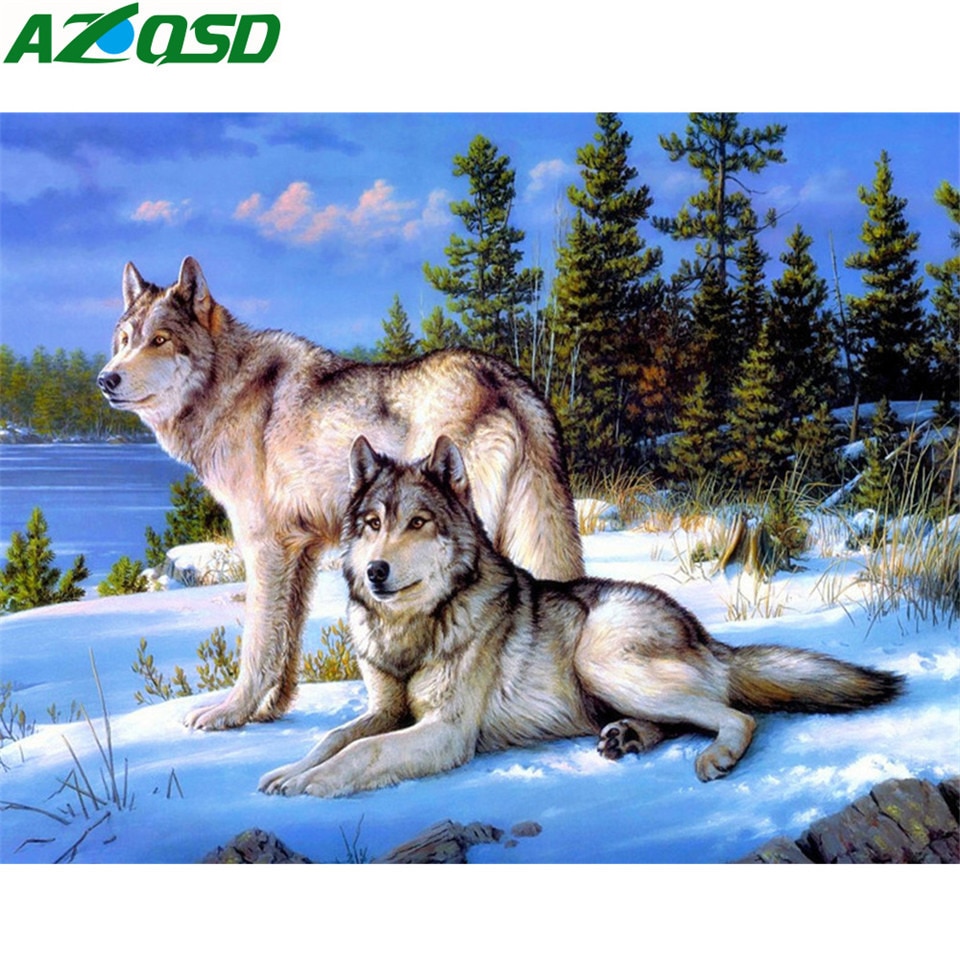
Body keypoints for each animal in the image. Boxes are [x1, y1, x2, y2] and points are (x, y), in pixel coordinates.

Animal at [98, 257, 583, 731]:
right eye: (123, 340)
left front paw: (230, 713)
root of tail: (506, 380)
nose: (106, 379)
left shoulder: (263, 547)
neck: (226, 387)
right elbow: (285, 643)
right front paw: (269, 710)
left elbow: (257, 644)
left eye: (160, 340)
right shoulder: (300, 551)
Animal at [259, 436, 904, 798]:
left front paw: (309, 785)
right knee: (689, 717)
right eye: (373, 524)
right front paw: (288, 771)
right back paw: (627, 737)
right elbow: (335, 738)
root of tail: (703, 633)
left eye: (417, 523)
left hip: (602, 661)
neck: (413, 630)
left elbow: (360, 753)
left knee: (738, 717)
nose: (376, 572)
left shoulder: (446, 731)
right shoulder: (385, 711)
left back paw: (713, 756)